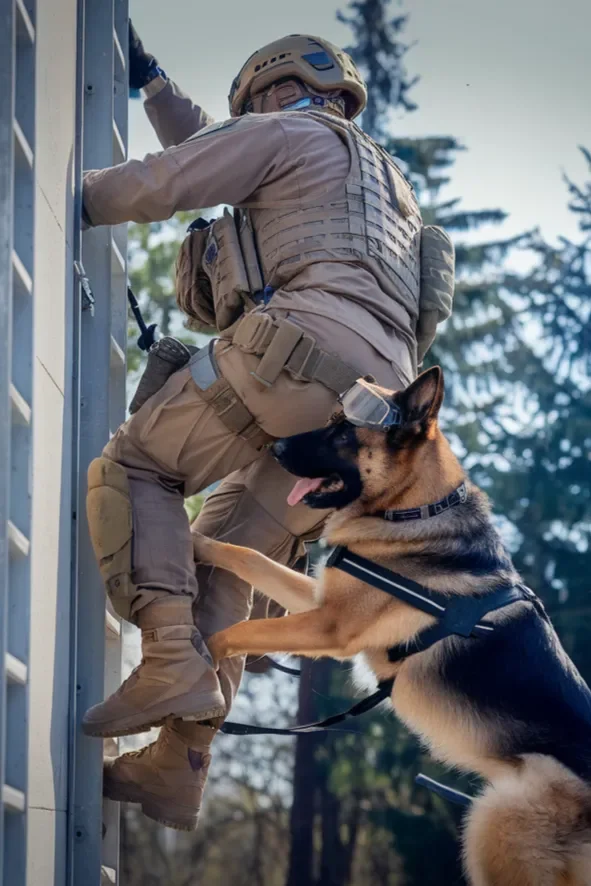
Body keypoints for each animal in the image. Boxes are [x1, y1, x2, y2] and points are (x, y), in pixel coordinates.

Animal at [195, 368, 591, 886]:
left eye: (344, 434)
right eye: (330, 421)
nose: (274, 448)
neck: (412, 509)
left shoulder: (327, 626)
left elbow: (236, 633)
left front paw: (196, 655)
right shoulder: (319, 602)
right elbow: (247, 556)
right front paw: (195, 541)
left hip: (493, 823)